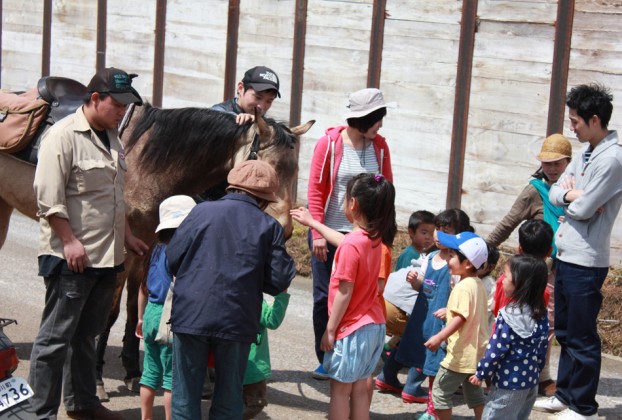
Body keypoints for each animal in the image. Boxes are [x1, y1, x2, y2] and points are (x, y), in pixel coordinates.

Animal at [0, 102, 314, 390]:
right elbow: (111, 310)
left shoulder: (145, 246)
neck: (145, 162)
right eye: (267, 168)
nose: (286, 229)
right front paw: (98, 377)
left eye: (295, 170)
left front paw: (131, 370)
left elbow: (134, 303)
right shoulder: (119, 250)